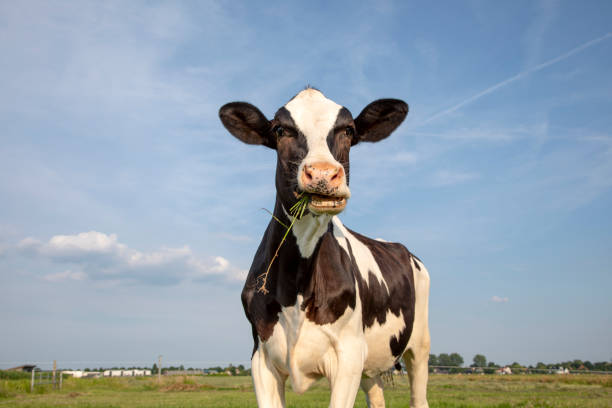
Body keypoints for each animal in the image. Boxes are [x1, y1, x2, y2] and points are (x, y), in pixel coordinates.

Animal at [220, 87, 430, 406]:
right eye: (280, 130)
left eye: (349, 130)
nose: (322, 173)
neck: (295, 286)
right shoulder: (261, 358)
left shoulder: (348, 356)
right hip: (371, 365)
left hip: (419, 345)